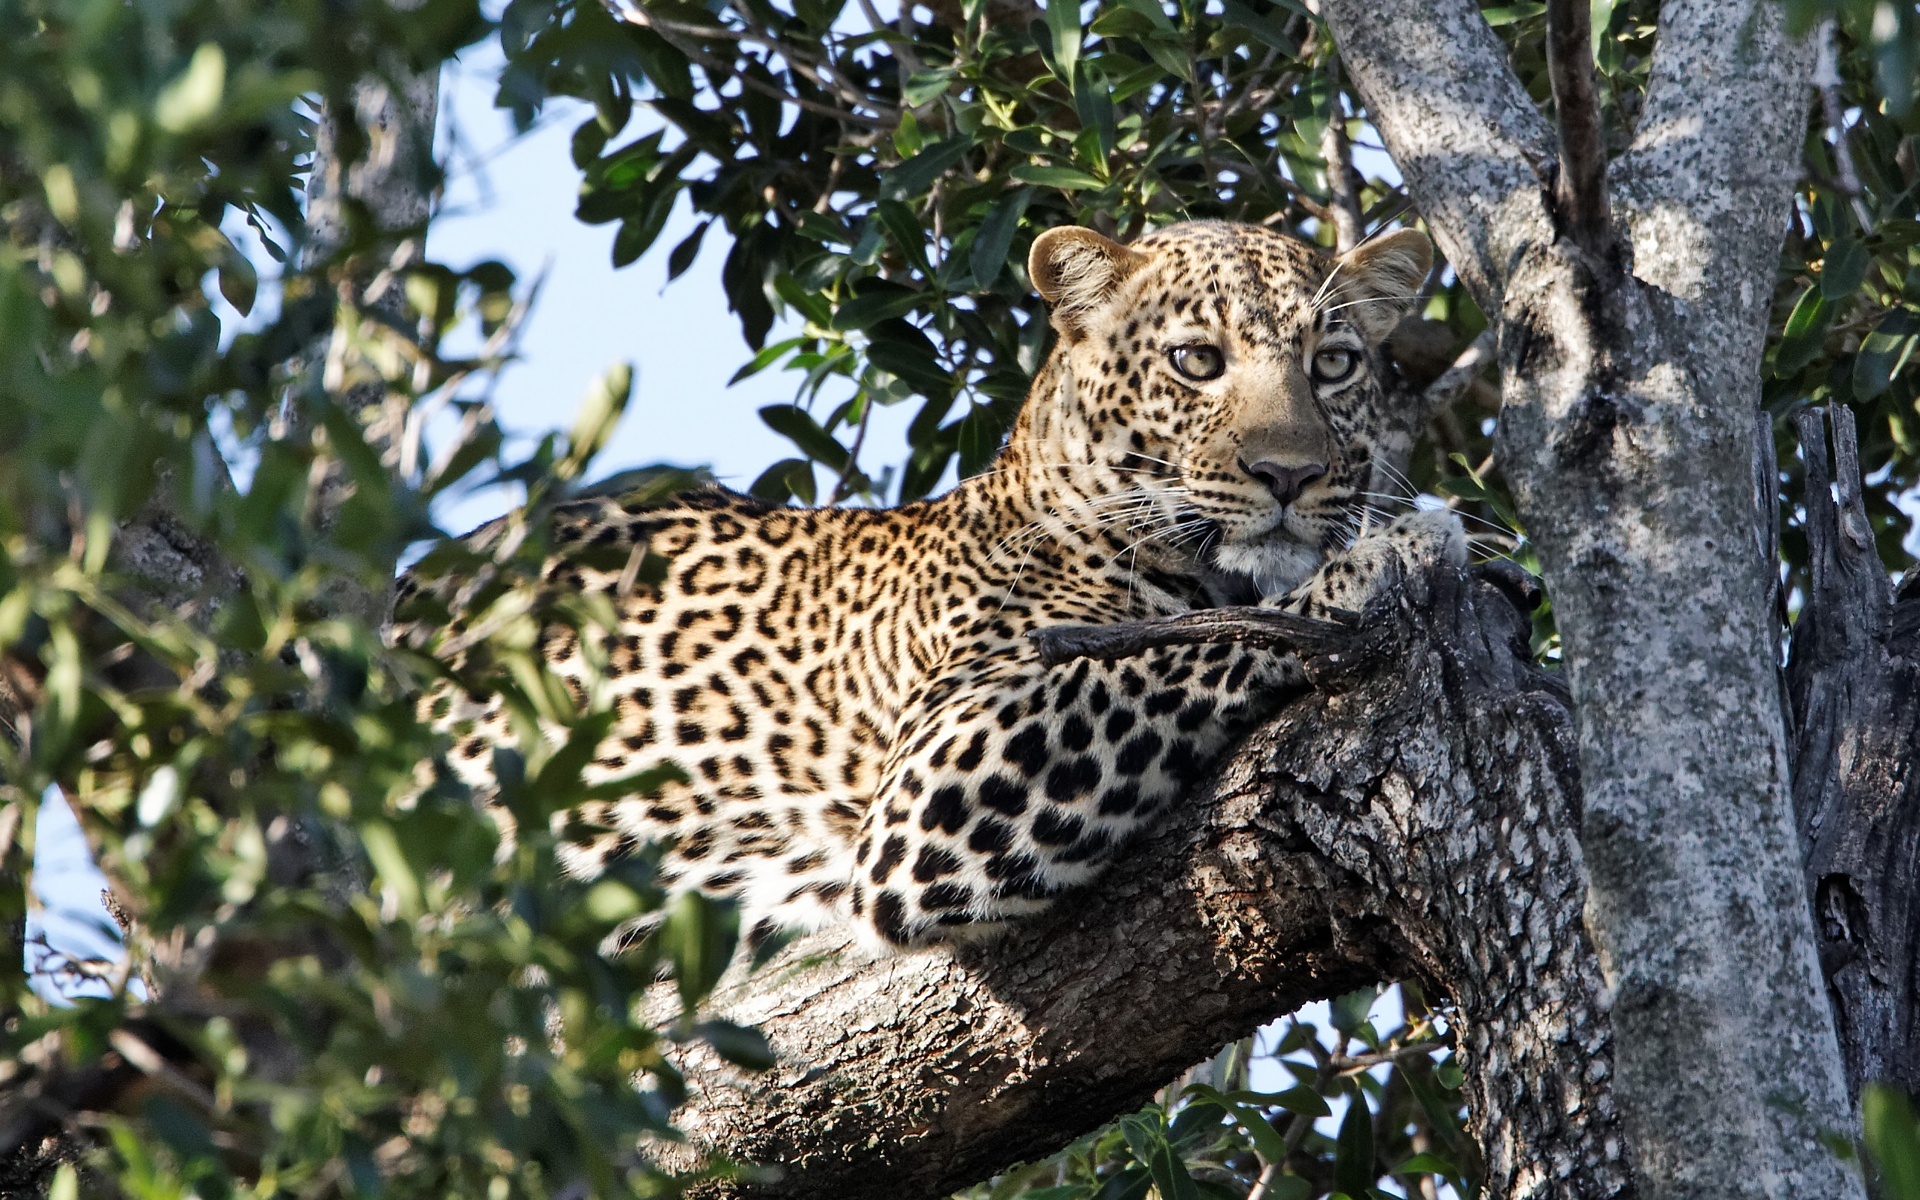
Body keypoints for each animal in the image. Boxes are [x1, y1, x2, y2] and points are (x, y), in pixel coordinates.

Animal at [397, 215, 1459, 944]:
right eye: (1197, 361)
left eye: (1333, 365)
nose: (1291, 474)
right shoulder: (935, 778)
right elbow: (1169, 651)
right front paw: (1397, 552)